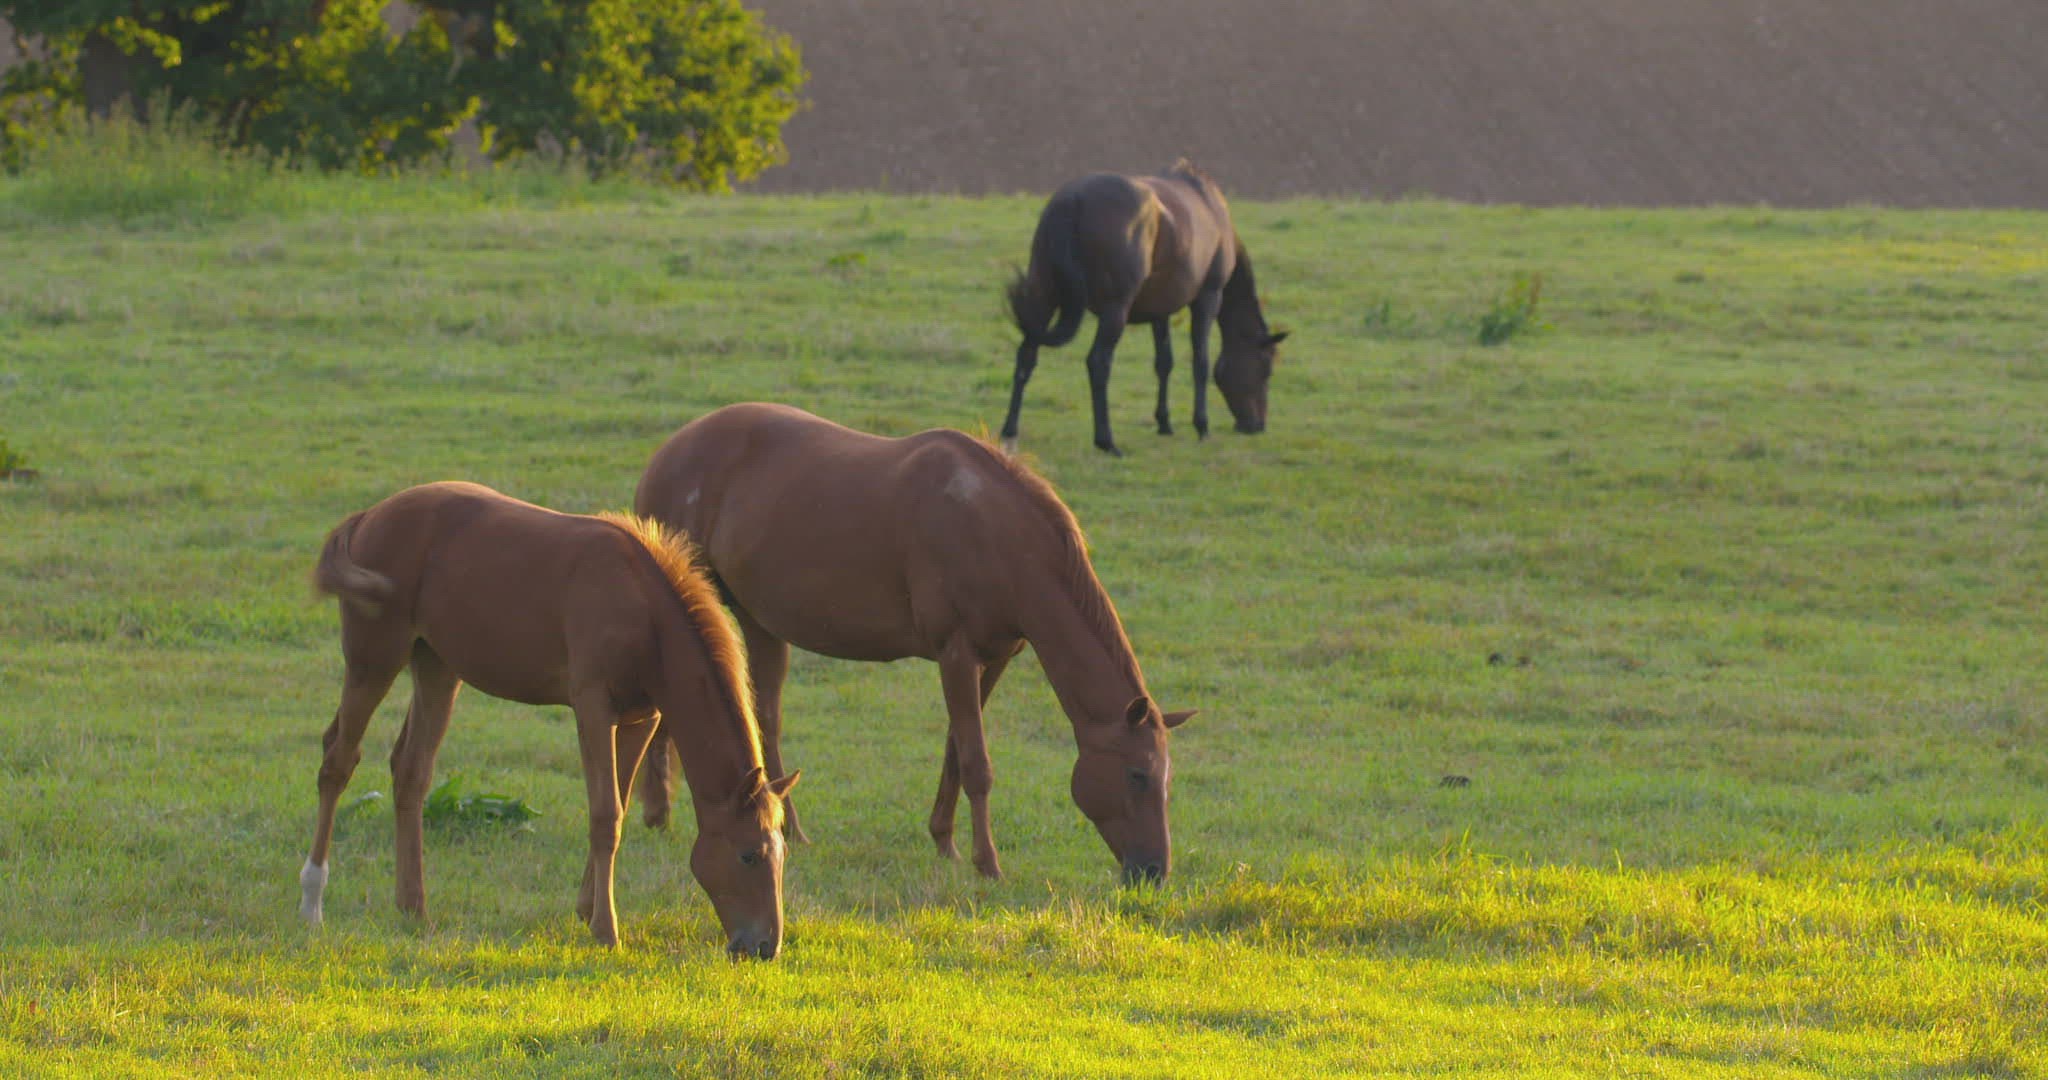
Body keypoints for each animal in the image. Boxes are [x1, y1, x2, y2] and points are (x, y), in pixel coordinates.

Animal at [298, 481, 800, 958]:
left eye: (783, 853)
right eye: (749, 855)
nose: (764, 947)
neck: (642, 609)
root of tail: (368, 517)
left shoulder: (642, 718)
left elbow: (618, 803)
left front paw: (587, 909)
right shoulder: (593, 708)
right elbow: (606, 814)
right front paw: (606, 930)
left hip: (437, 667)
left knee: (411, 772)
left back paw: (412, 907)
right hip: (373, 662)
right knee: (338, 762)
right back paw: (312, 901)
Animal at [632, 403, 1195, 885]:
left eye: (1168, 782)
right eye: (1138, 775)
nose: (1154, 871)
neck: (995, 531)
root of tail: (667, 453)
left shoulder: (993, 659)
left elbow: (955, 750)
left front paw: (945, 842)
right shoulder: (956, 653)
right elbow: (977, 763)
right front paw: (988, 863)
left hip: (760, 622)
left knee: (765, 718)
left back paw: (789, 829)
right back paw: (659, 813)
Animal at [1004, 160, 1288, 456]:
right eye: (1266, 368)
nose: (1256, 426)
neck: (1214, 214)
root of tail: (1072, 200)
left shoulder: (1159, 309)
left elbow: (1164, 362)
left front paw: (1164, 422)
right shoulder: (1209, 297)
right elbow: (1201, 361)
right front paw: (1202, 426)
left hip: (1043, 296)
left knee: (1027, 355)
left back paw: (1010, 432)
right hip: (1115, 310)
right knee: (1098, 362)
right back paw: (1106, 441)